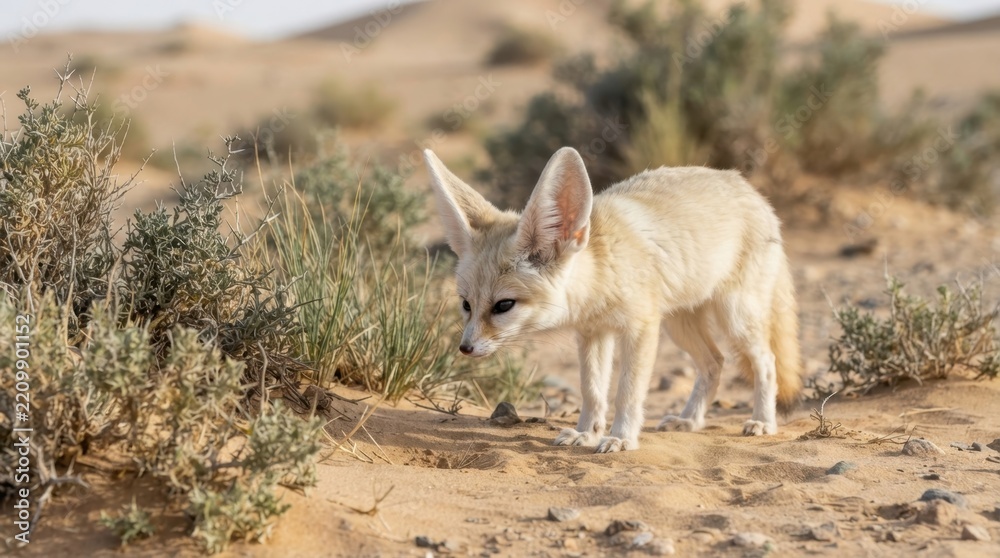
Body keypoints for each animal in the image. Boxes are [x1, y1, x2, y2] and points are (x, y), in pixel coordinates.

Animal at [423, 146, 802, 453]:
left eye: (503, 305)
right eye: (466, 305)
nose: (465, 348)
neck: (600, 273)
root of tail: (748, 187)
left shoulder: (640, 329)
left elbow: (627, 391)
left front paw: (621, 438)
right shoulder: (593, 333)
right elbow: (592, 390)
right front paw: (586, 434)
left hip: (735, 319)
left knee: (766, 361)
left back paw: (763, 421)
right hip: (680, 326)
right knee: (715, 362)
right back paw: (690, 421)